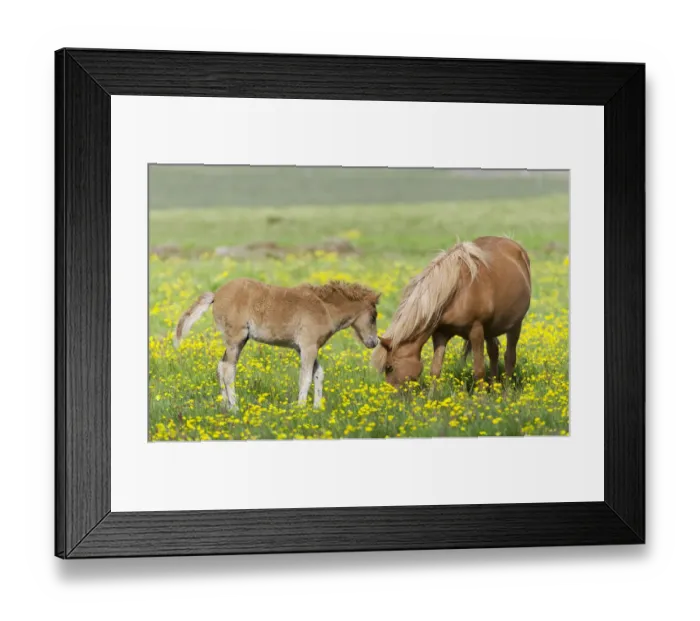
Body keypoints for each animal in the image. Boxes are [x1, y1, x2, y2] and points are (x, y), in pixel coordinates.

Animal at [174, 278, 381, 409]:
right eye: (373, 316)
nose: (374, 342)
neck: (325, 309)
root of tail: (217, 294)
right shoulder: (308, 347)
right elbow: (305, 377)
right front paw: (300, 408)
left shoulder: (305, 348)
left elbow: (318, 374)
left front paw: (317, 408)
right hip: (236, 339)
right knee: (228, 369)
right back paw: (234, 407)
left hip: (238, 341)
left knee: (220, 366)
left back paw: (225, 404)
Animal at [371, 236, 531, 387]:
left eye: (389, 367)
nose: (393, 394)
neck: (456, 291)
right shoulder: (441, 333)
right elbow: (435, 370)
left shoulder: (476, 331)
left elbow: (479, 370)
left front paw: (481, 397)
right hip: (491, 329)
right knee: (494, 352)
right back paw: (494, 387)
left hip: (515, 325)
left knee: (509, 357)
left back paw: (506, 391)